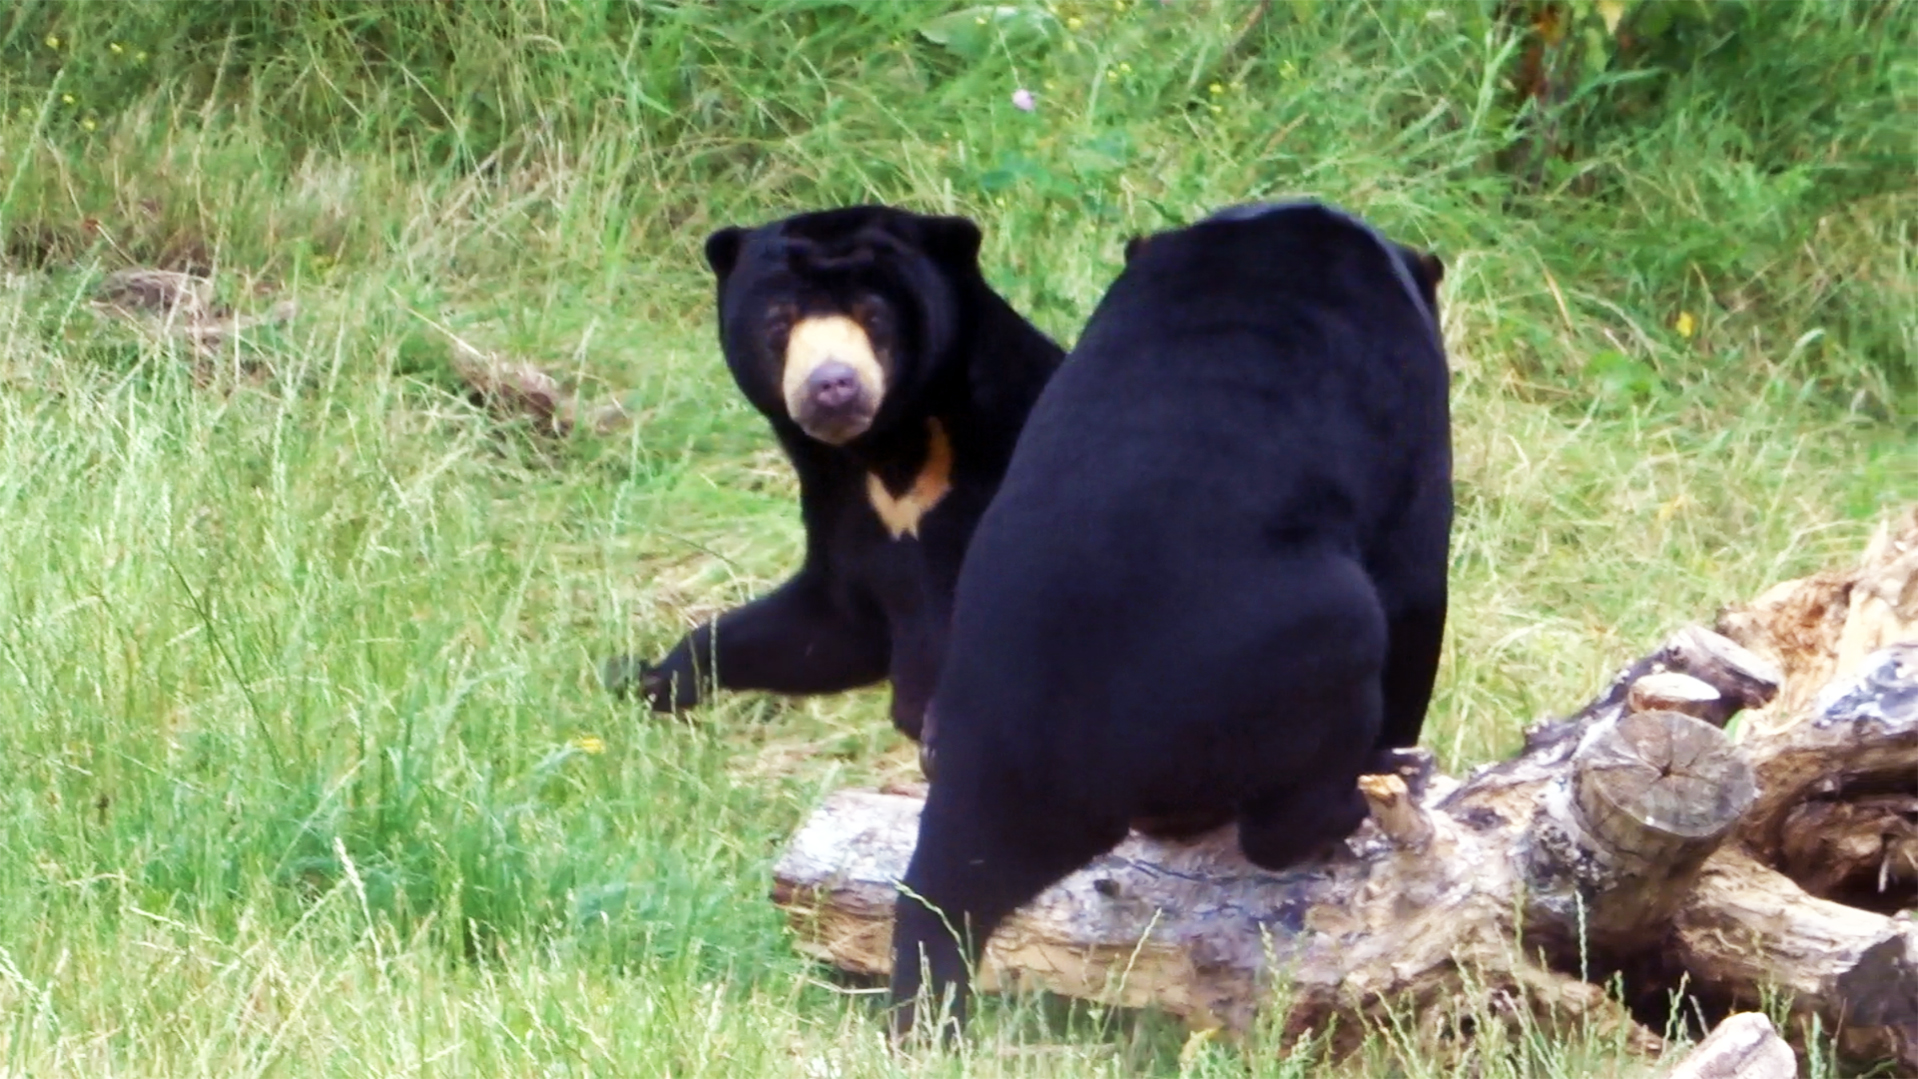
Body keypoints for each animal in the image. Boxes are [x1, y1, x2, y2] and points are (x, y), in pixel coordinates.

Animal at [602, 205, 1066, 743]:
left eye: (874, 316)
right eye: (780, 322)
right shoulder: (844, 508)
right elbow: (831, 626)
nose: (832, 386)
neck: (891, 449)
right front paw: (654, 676)